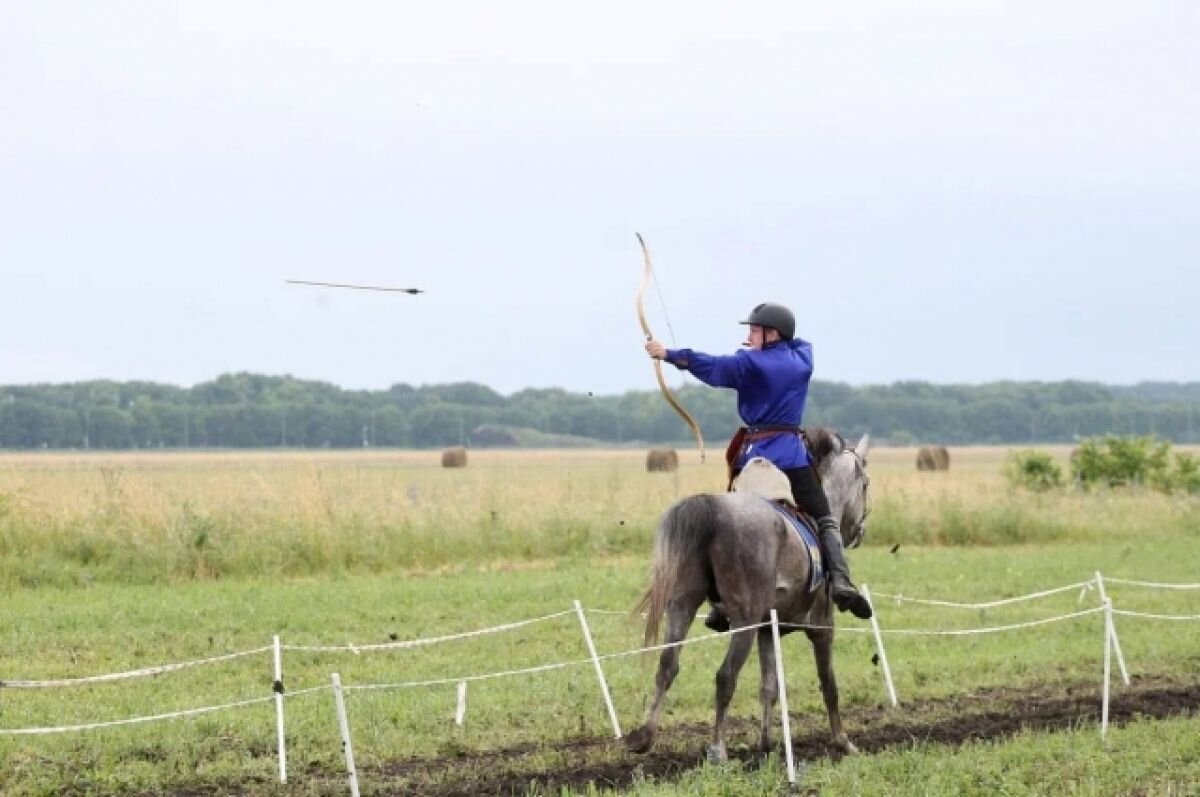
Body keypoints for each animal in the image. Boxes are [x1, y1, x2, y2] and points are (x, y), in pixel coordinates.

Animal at [624, 427, 868, 763]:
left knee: (667, 665)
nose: (859, 532)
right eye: (865, 485)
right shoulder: (821, 627)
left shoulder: (767, 629)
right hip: (744, 620)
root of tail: (711, 509)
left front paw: (766, 744)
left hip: (682, 607)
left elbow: (769, 687)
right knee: (725, 676)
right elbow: (828, 683)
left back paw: (645, 737)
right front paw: (842, 741)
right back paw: (718, 749)